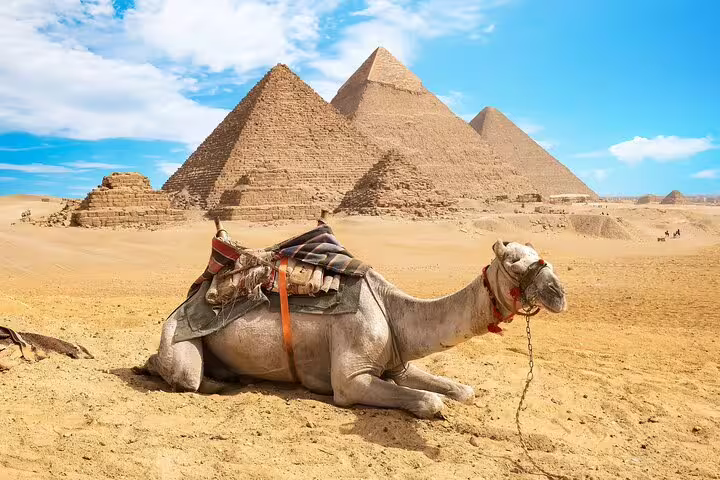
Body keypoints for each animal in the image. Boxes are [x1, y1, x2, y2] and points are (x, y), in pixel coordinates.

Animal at [141, 239, 567, 418]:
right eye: (512, 262)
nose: (559, 293)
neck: (394, 310)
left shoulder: (398, 361)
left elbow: (462, 390)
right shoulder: (351, 379)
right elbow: (431, 401)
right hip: (178, 336)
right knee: (185, 374)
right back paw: (210, 380)